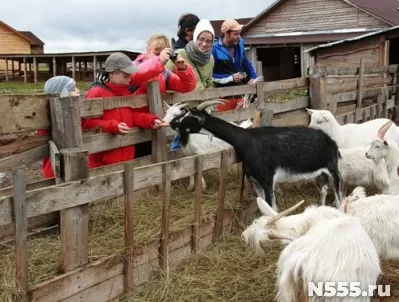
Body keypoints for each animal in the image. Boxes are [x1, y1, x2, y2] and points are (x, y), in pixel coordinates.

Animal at [169, 100, 344, 209]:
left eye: (190, 117)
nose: (171, 123)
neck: (247, 140)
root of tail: (330, 141)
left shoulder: (267, 180)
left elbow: (272, 208)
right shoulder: (255, 181)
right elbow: (267, 209)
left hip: (333, 169)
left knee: (339, 197)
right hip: (319, 173)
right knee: (324, 189)